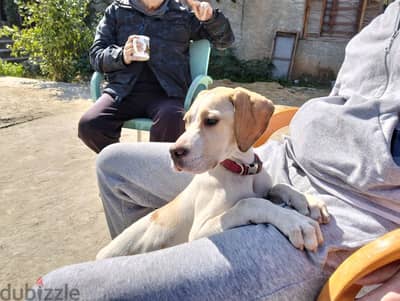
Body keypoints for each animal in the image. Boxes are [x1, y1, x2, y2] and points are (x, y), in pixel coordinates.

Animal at [96, 86, 328, 258]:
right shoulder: (200, 231)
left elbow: (278, 185)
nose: (173, 153)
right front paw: (295, 222)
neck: (242, 171)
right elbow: (250, 202)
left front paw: (307, 201)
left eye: (211, 121)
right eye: (186, 121)